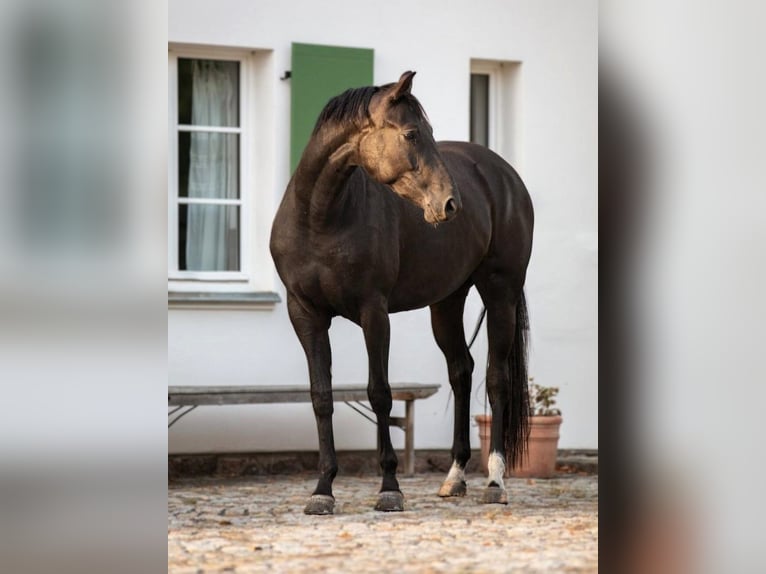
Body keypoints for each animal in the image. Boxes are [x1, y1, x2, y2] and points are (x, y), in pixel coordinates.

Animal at [272, 72, 536, 516]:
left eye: (428, 133)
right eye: (412, 134)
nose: (450, 204)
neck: (320, 218)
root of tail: (506, 176)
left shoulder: (373, 313)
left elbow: (380, 393)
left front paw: (390, 487)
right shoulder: (305, 314)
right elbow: (321, 397)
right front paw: (323, 489)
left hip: (501, 292)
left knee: (495, 379)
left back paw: (495, 481)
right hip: (446, 302)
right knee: (461, 371)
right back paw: (454, 477)